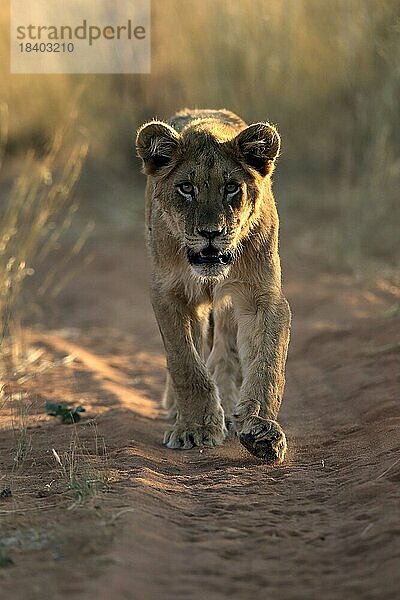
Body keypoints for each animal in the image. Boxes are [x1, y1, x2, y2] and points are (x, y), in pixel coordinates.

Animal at [137, 109, 290, 464]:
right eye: (186, 188)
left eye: (232, 188)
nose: (211, 233)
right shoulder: (169, 293)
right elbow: (185, 362)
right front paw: (194, 429)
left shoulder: (261, 297)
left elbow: (267, 362)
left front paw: (261, 428)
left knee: (225, 352)